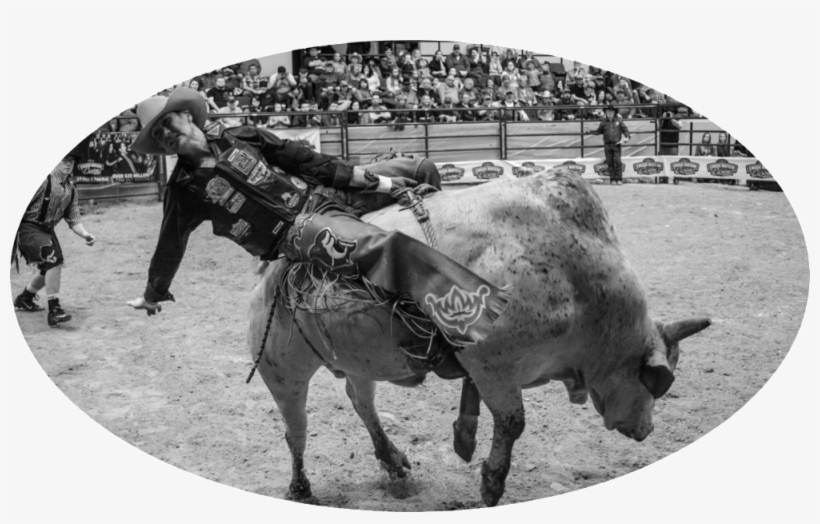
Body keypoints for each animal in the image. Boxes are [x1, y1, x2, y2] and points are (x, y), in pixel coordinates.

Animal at [247, 168, 710, 506]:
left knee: (362, 403)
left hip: (357, 360)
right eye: (655, 381)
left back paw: (393, 462)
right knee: (296, 430)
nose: (646, 430)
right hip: (282, 372)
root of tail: (273, 270)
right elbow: (512, 422)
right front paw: (491, 483)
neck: (578, 278)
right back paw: (301, 487)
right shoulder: (492, 365)